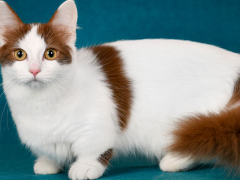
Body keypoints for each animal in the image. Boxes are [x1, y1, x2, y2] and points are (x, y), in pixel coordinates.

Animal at [0, 0, 240, 180]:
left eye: (50, 54)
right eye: (20, 54)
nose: (34, 70)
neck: (40, 105)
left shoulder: (99, 125)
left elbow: (94, 149)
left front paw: (85, 167)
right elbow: (48, 152)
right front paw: (47, 163)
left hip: (197, 118)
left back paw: (173, 160)